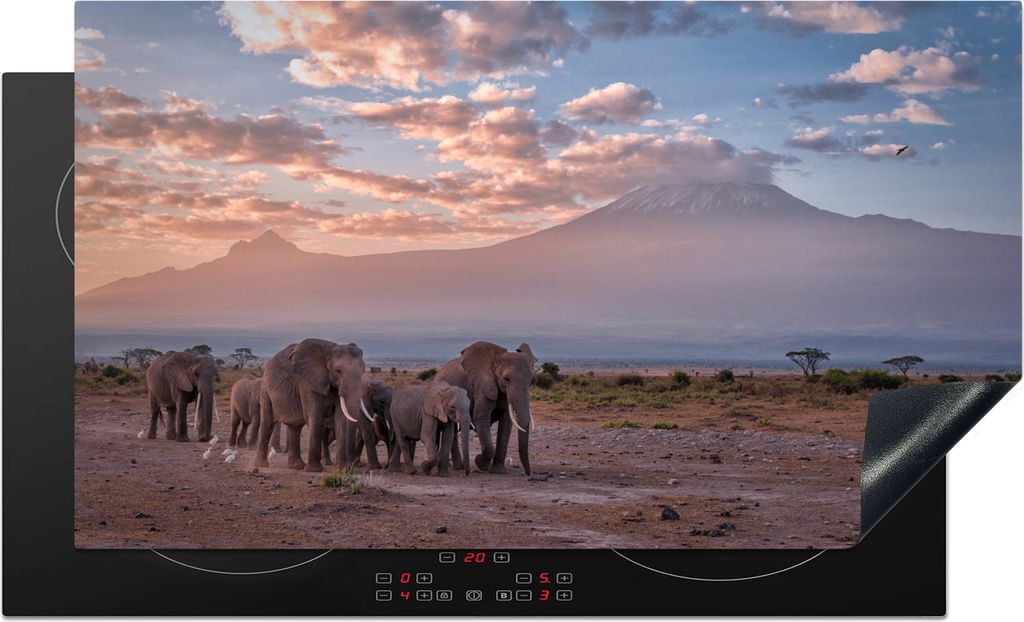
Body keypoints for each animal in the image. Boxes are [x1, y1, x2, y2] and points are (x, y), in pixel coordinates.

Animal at [253, 338, 379, 472]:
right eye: (338, 371)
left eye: (363, 371)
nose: (349, 468)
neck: (329, 351)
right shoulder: (307, 383)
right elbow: (315, 417)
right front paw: (315, 470)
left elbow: (340, 419)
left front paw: (342, 470)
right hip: (265, 388)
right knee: (267, 423)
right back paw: (262, 465)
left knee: (295, 427)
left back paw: (297, 466)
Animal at [436, 341, 537, 476]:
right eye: (506, 379)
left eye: (531, 381)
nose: (528, 473)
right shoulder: (481, 387)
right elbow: (481, 418)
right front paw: (480, 463)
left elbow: (506, 424)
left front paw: (498, 471)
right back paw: (459, 467)